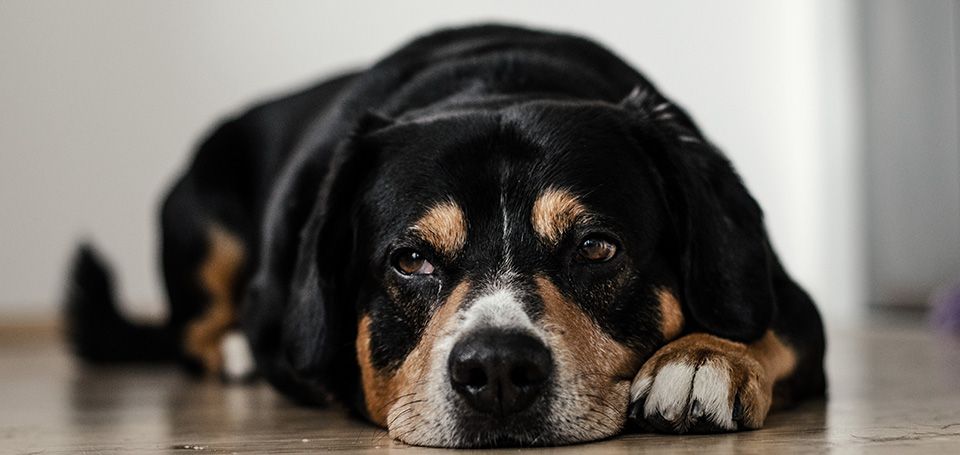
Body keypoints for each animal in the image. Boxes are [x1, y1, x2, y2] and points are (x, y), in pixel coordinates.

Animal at [65, 25, 824, 448]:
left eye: (596, 248)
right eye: (410, 260)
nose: (497, 370)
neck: (497, 84)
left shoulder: (786, 295)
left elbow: (770, 327)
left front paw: (702, 358)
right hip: (201, 221)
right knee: (193, 329)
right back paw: (234, 351)